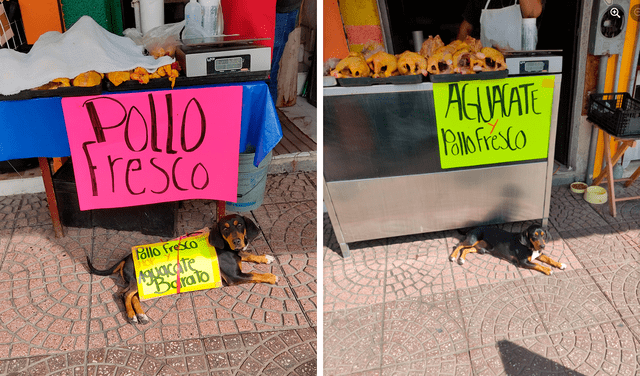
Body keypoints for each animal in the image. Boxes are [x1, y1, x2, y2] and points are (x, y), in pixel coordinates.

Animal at [85, 216, 276, 324]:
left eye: (240, 225)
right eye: (225, 228)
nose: (237, 241)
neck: (226, 246)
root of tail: (125, 258)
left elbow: (247, 254)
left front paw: (265, 257)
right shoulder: (235, 277)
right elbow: (255, 273)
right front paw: (271, 276)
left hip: (143, 285)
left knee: (131, 296)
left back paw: (141, 315)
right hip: (140, 280)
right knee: (124, 295)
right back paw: (133, 316)